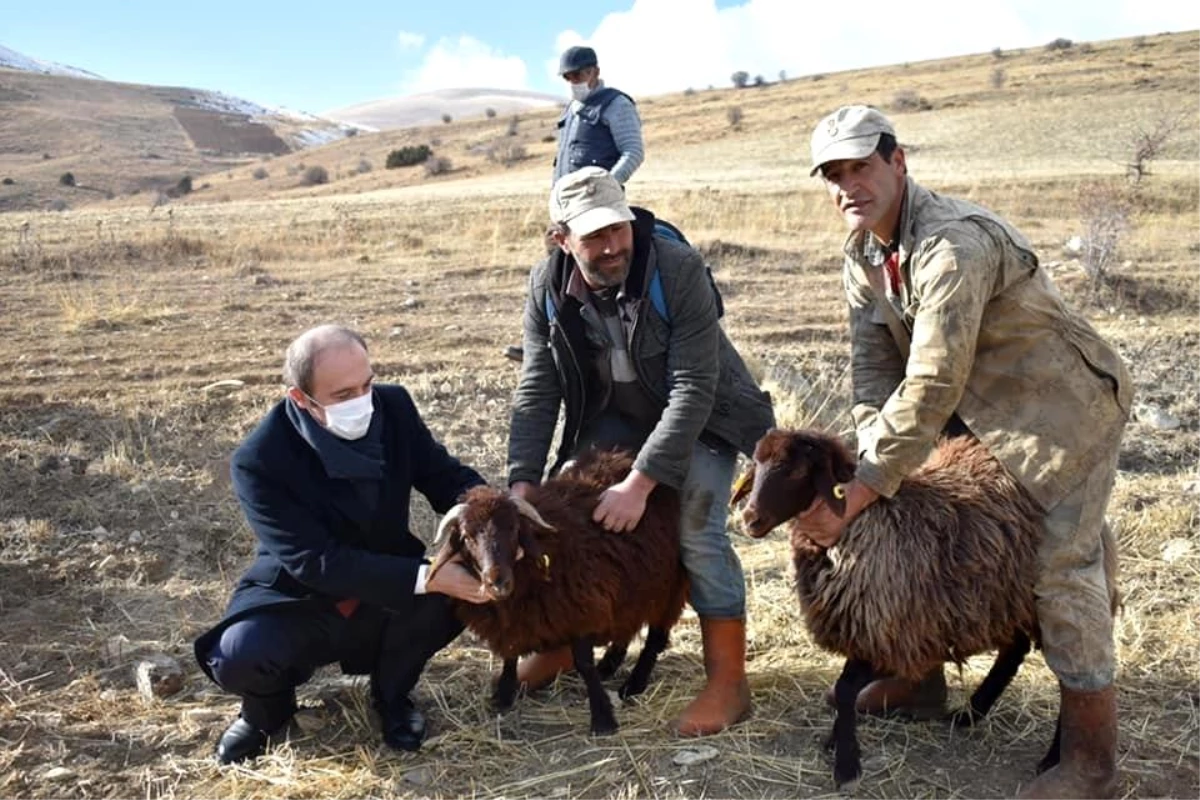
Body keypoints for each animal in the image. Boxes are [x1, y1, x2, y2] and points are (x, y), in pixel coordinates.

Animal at [427, 448, 686, 734]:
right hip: (634, 584)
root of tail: (626, 458)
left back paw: (634, 684)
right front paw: (504, 695)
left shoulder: (582, 608)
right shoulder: (516, 618)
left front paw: (602, 718)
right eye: (467, 537)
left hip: (669, 583)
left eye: (514, 529)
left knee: (655, 636)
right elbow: (511, 652)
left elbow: (583, 663)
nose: (498, 582)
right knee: (627, 624)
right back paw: (609, 665)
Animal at [734, 429, 1118, 791]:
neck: (858, 526)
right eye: (757, 463)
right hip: (1005, 601)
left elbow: (845, 690)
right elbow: (847, 691)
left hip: (1044, 595)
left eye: (796, 470)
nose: (750, 519)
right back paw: (970, 713)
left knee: (1071, 669)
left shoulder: (883, 631)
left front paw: (846, 764)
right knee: (1014, 651)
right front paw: (837, 741)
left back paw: (1056, 758)